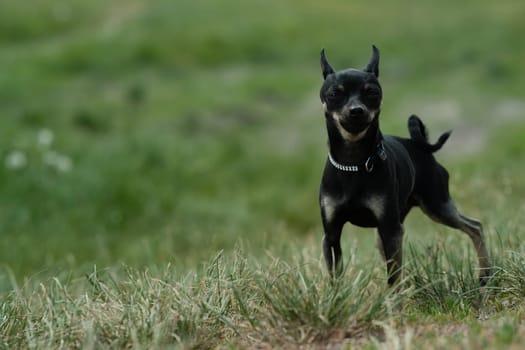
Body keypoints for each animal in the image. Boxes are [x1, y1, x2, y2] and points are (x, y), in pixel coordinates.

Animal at [318, 45, 490, 288]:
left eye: (372, 92)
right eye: (334, 94)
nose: (356, 110)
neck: (354, 163)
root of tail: (418, 145)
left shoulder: (390, 230)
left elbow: (392, 278)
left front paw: (393, 299)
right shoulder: (332, 234)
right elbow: (335, 277)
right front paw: (335, 296)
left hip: (437, 206)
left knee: (475, 227)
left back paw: (485, 274)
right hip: (393, 228)